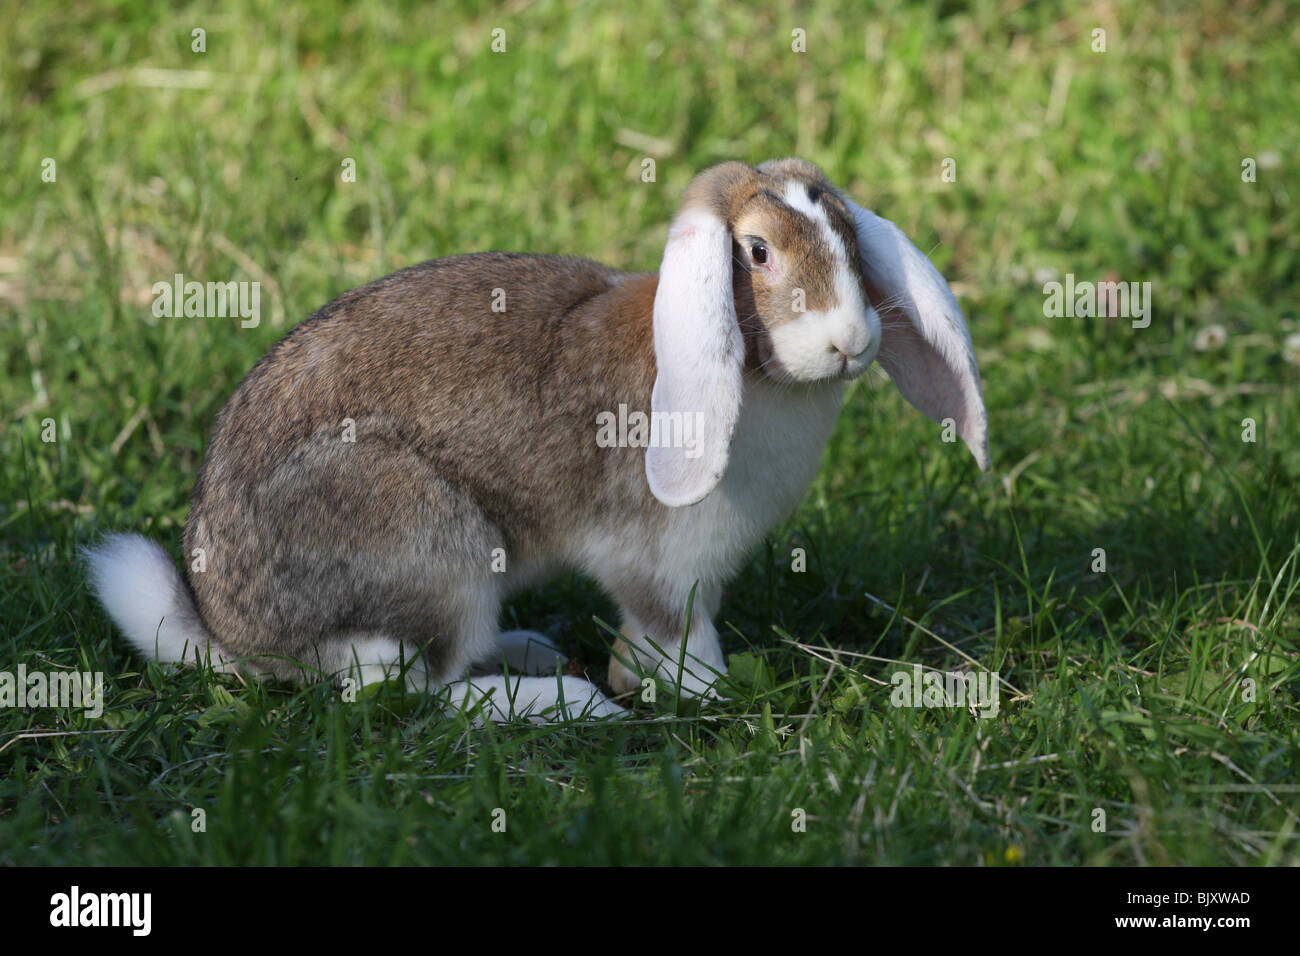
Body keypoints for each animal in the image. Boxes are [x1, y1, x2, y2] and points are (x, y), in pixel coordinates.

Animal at [86, 157, 987, 723]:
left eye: (849, 234)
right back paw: (563, 705)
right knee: (408, 692)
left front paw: (641, 676)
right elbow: (677, 630)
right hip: (427, 544)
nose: (851, 341)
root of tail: (235, 634)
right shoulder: (662, 562)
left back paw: (535, 654)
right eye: (757, 251)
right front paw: (704, 696)